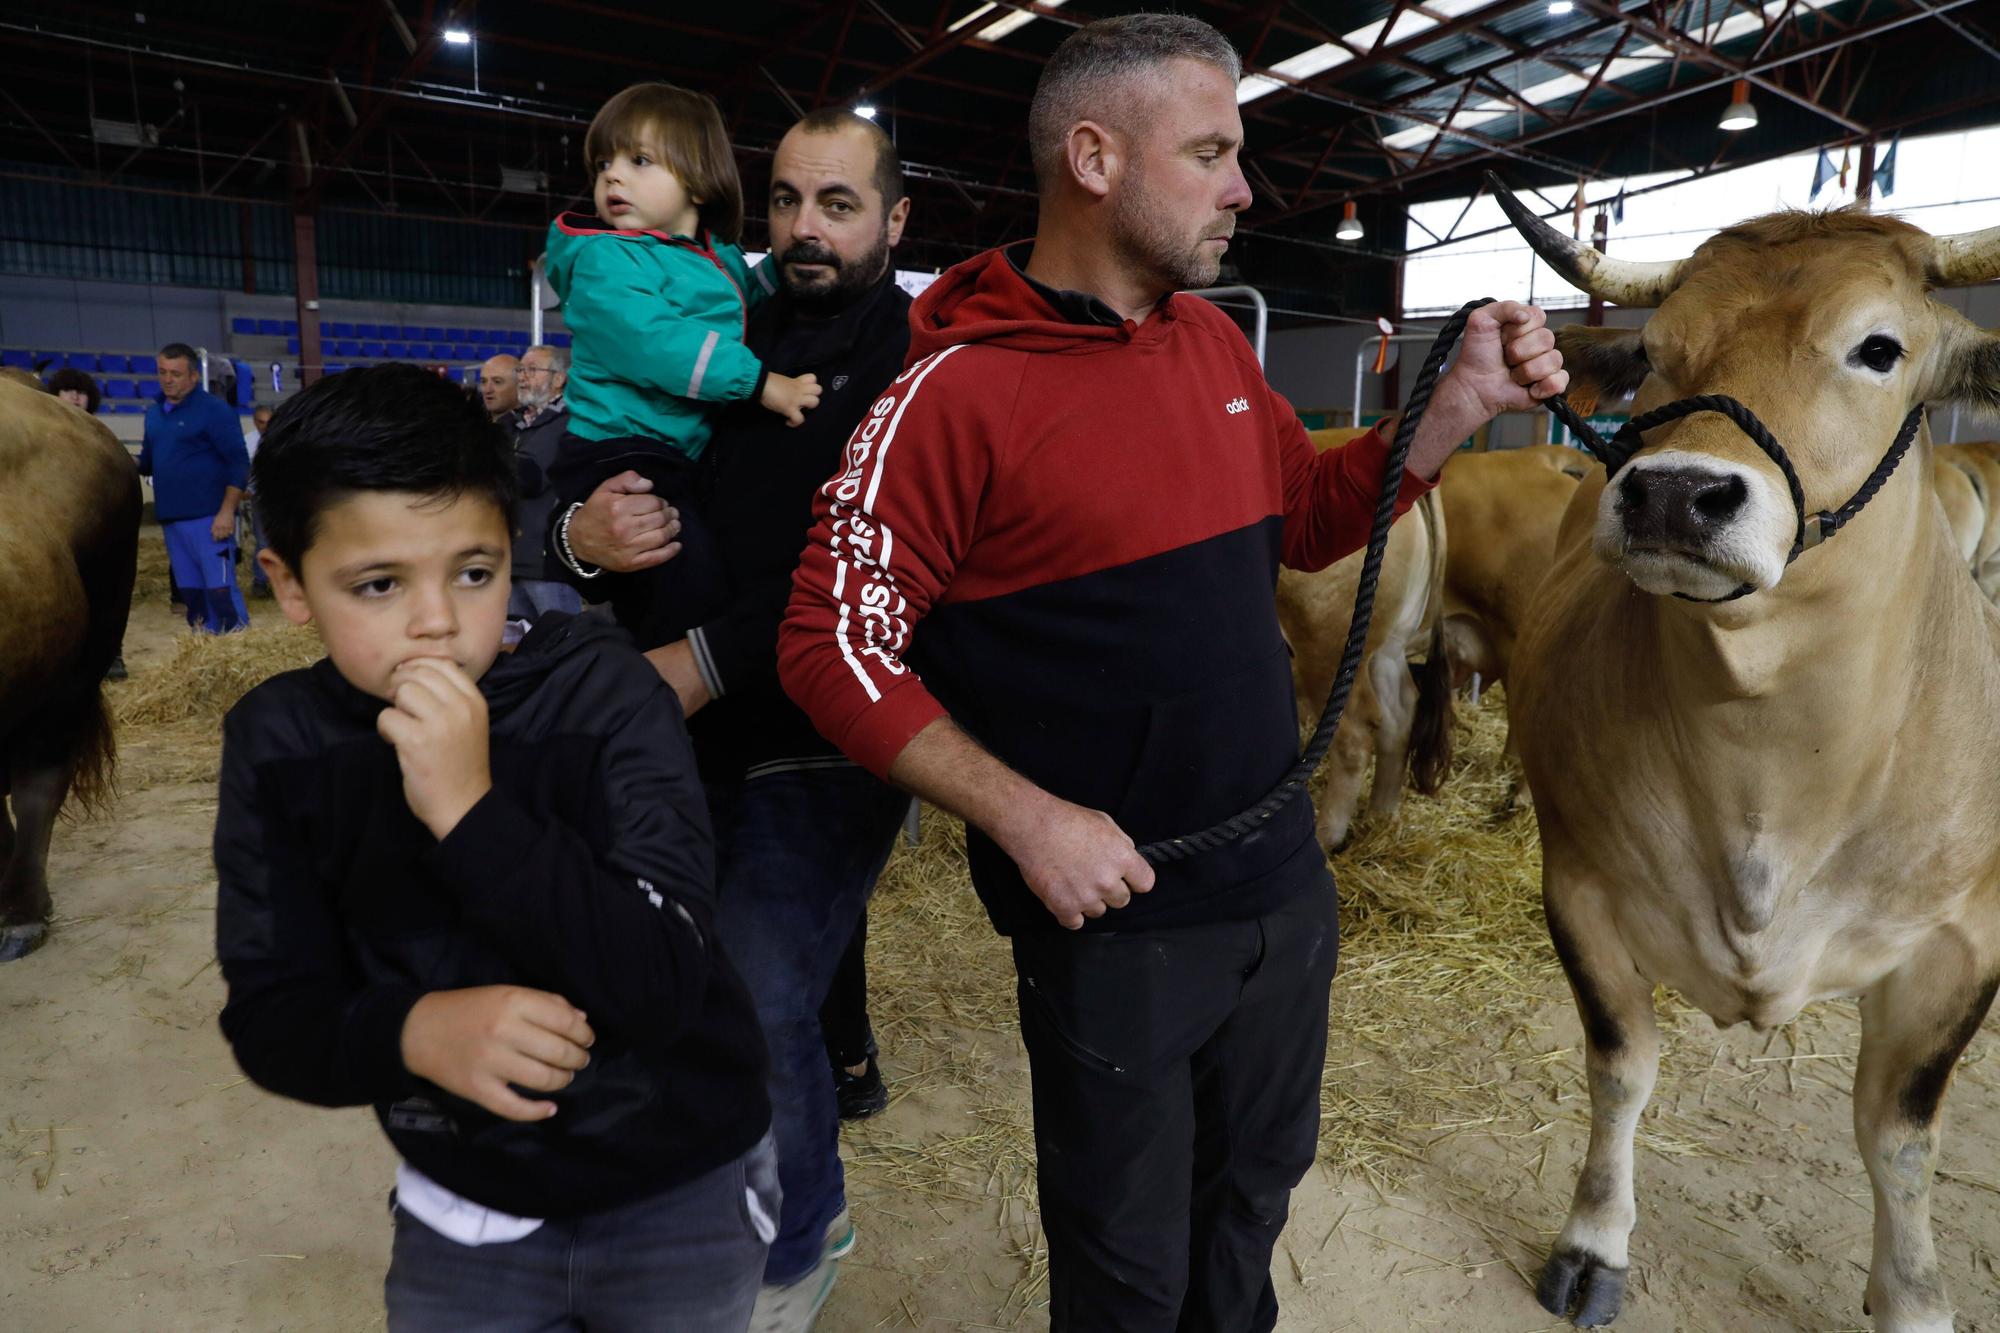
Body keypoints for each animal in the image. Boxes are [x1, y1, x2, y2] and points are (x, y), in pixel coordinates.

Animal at [1496, 174, 2000, 1320]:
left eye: (1877, 347)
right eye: (1654, 351)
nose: (1675, 492)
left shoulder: (1962, 947)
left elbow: (1899, 1136)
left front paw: (1913, 1298)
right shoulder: (1580, 890)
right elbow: (1621, 1067)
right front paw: (1594, 1240)